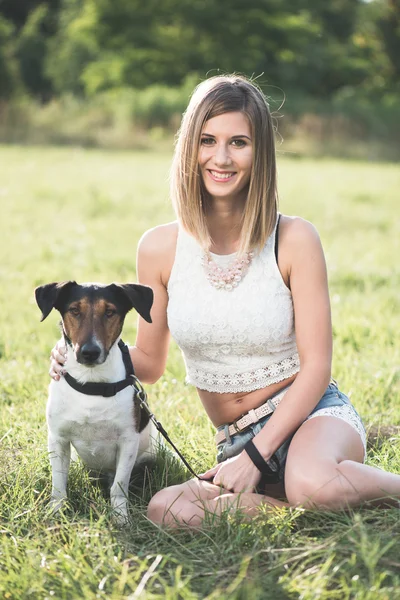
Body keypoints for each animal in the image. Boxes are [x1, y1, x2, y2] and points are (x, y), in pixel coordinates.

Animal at [35, 280, 155, 520]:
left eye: (109, 312)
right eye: (74, 310)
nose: (89, 352)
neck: (92, 384)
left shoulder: (128, 442)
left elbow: (119, 484)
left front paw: (120, 517)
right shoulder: (58, 439)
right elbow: (58, 481)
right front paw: (56, 511)